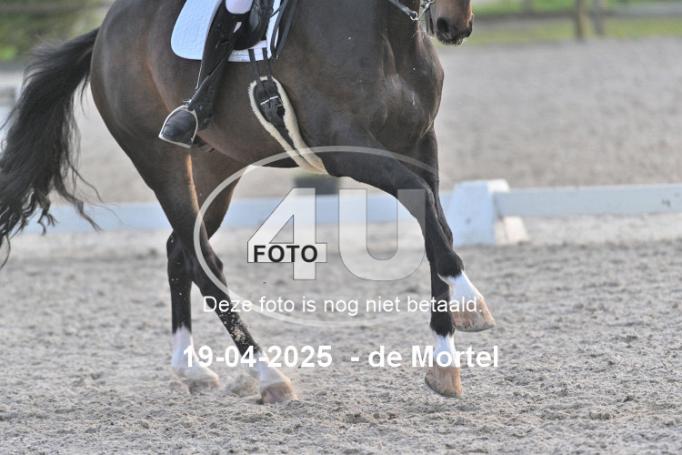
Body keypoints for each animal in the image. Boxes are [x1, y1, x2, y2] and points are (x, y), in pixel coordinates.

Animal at [0, 0, 493, 403]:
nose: (453, 26)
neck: (388, 32)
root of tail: (104, 31)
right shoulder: (346, 149)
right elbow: (428, 213)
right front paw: (473, 306)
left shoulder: (419, 143)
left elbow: (437, 230)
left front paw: (444, 363)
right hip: (160, 160)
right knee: (204, 264)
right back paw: (269, 376)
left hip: (217, 165)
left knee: (180, 251)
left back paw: (191, 369)